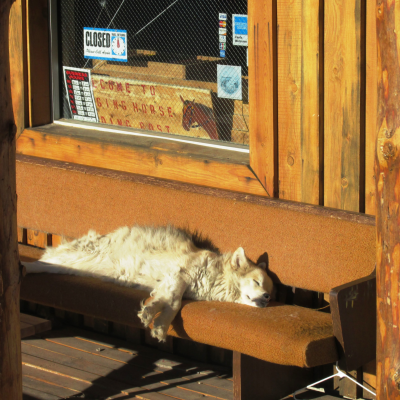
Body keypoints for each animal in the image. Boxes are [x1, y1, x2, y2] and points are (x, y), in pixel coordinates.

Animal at [23, 225, 274, 340]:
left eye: (270, 294)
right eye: (257, 282)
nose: (266, 300)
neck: (216, 278)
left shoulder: (172, 282)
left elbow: (169, 302)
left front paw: (156, 318)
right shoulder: (180, 275)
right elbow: (174, 303)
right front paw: (156, 319)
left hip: (75, 267)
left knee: (46, 264)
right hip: (77, 257)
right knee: (46, 258)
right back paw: (22, 266)